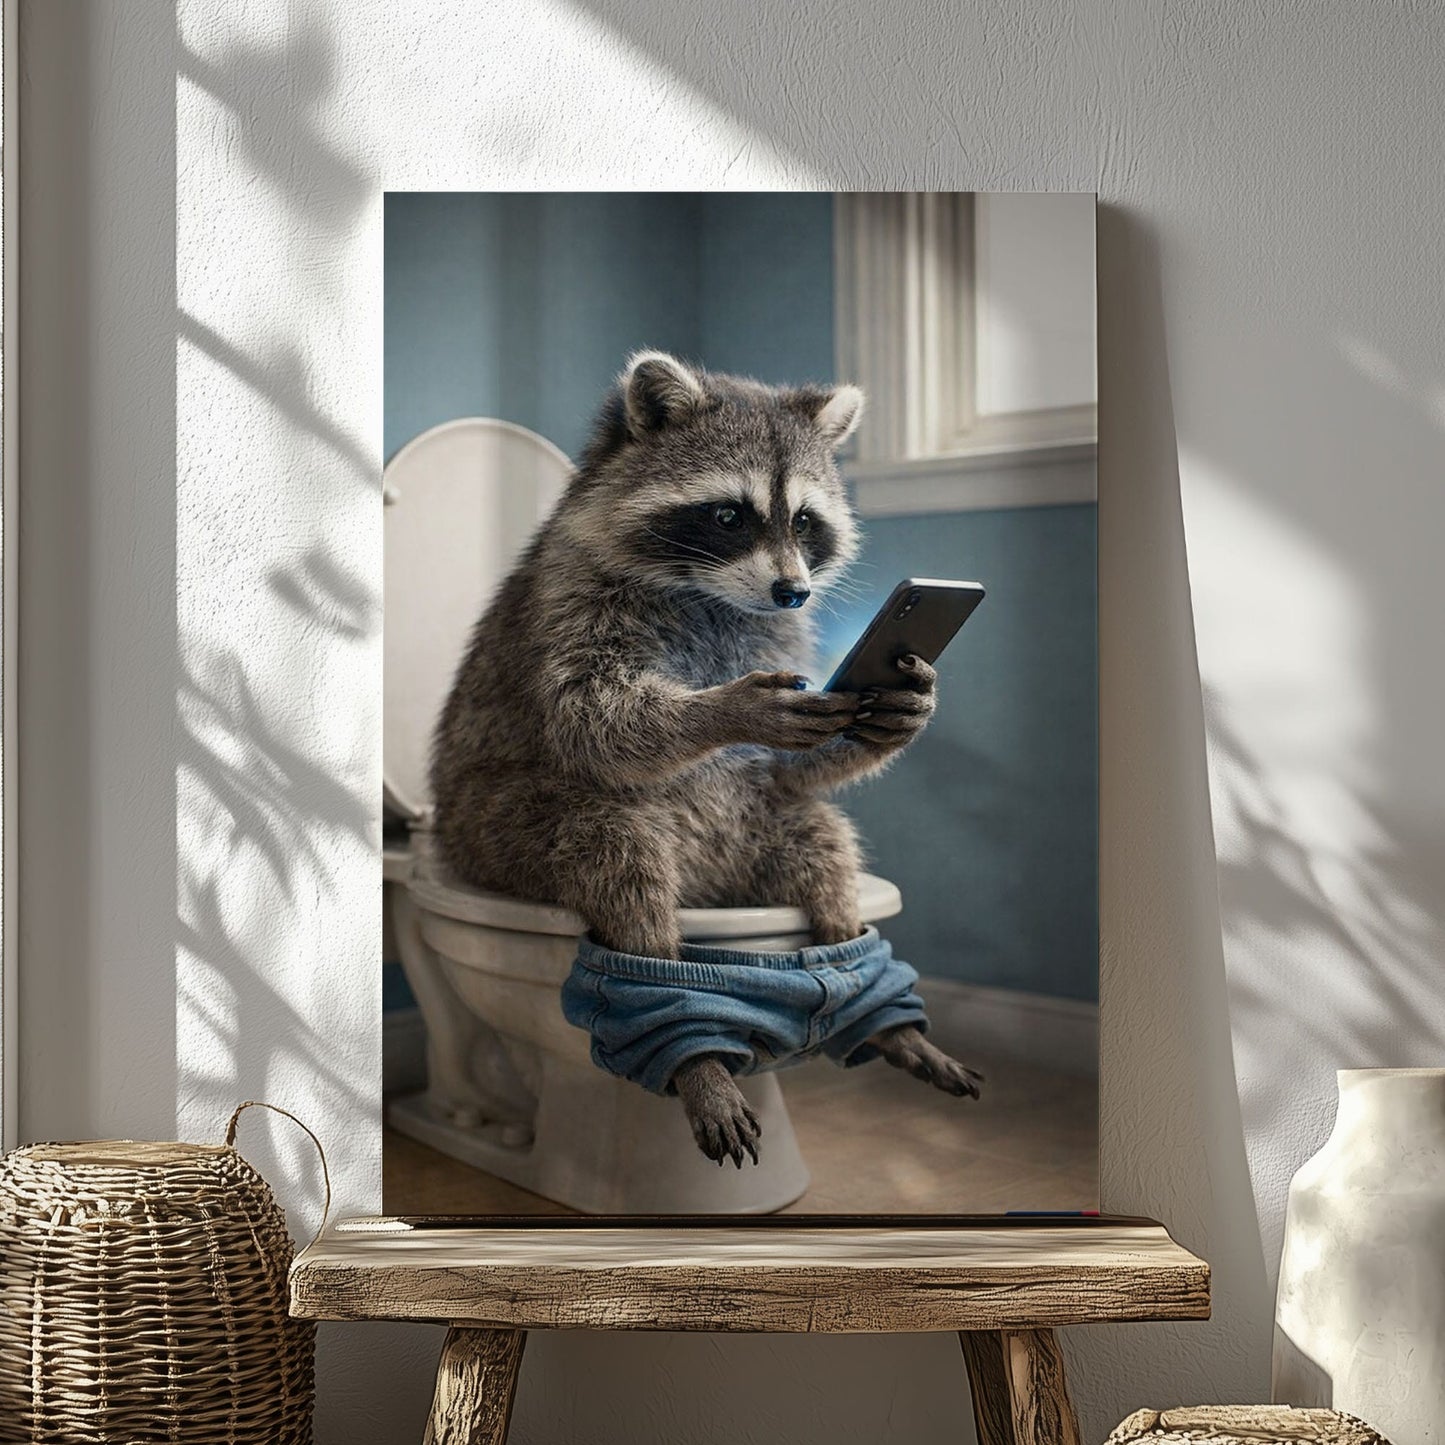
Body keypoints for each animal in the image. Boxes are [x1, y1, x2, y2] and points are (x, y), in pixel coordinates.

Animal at [430, 351, 982, 1166]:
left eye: (805, 522)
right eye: (729, 516)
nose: (793, 590)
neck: (710, 593)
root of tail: (707, 881)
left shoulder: (784, 638)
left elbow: (790, 768)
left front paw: (897, 713)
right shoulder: (571, 600)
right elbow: (589, 720)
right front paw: (723, 709)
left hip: (757, 833)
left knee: (823, 840)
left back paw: (880, 1009)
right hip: (491, 828)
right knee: (614, 850)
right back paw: (695, 1056)